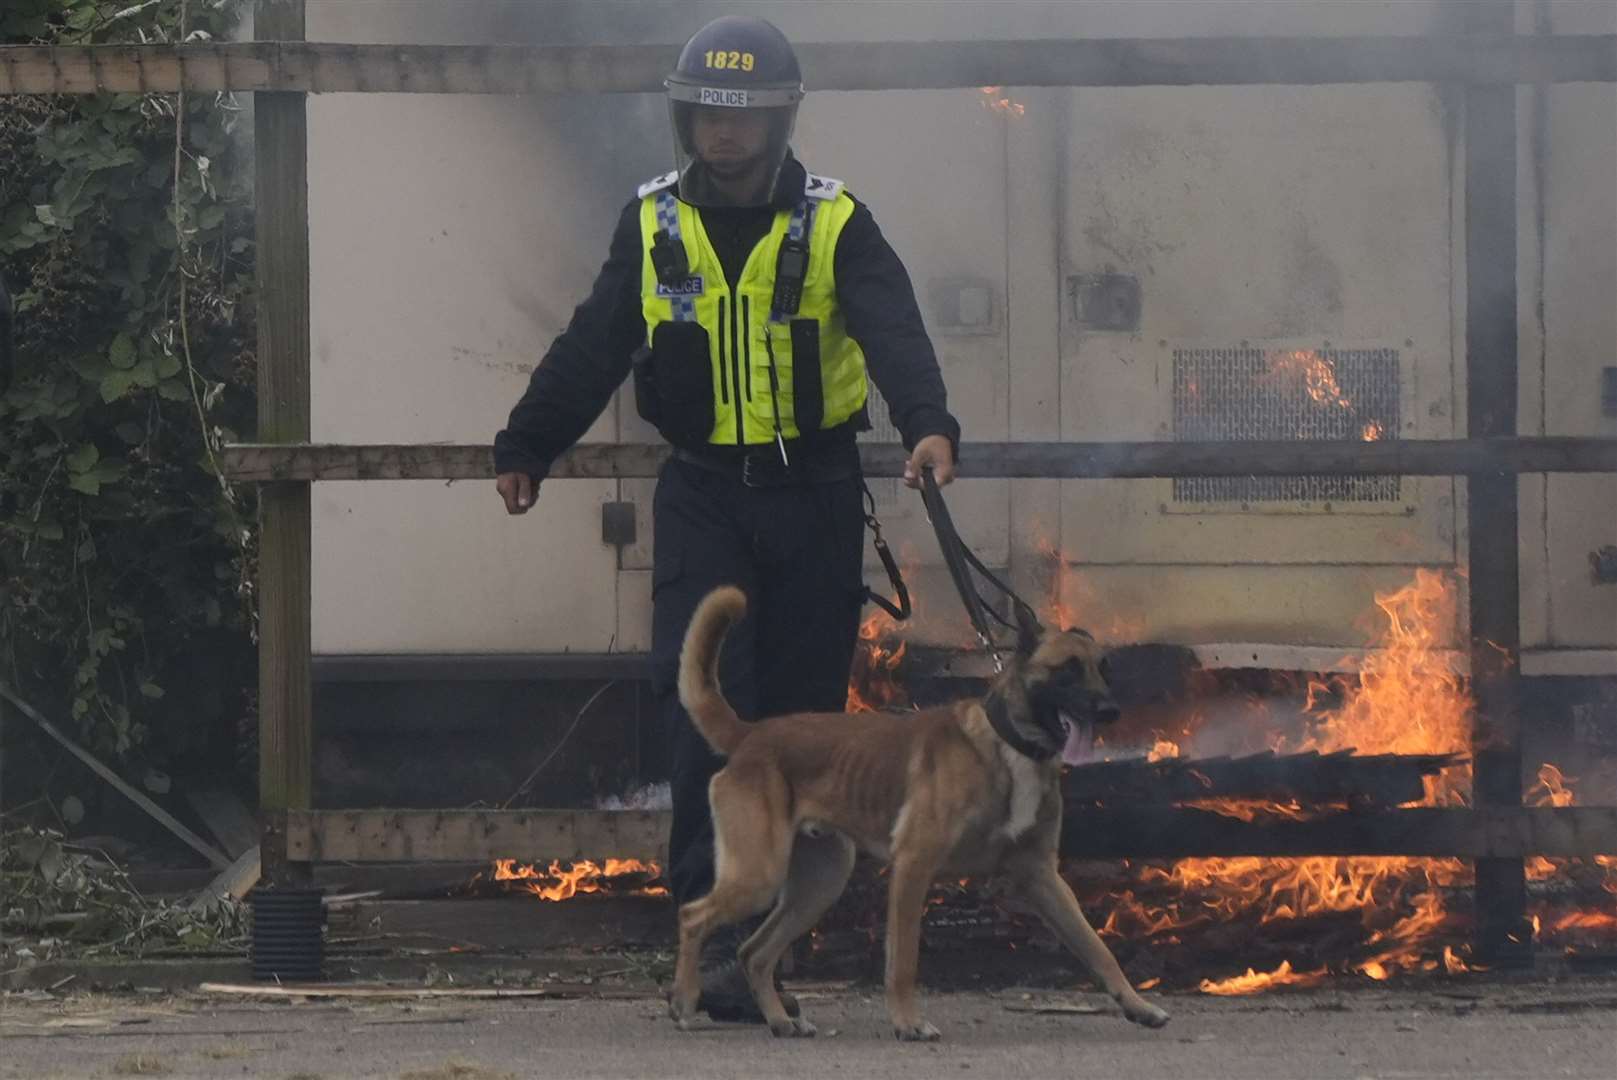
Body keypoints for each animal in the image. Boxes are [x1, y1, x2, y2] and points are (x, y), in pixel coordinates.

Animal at [662, 585, 1170, 1041]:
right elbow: (904, 961)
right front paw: (908, 1023)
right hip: (759, 875)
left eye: (1104, 671)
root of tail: (751, 735)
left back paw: (780, 1020)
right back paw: (685, 1002)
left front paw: (1139, 1006)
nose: (1111, 711)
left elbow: (1099, 949)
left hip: (818, 885)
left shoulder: (1043, 878)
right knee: (693, 916)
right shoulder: (913, 867)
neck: (1008, 747)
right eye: (1067, 672)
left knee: (755, 952)